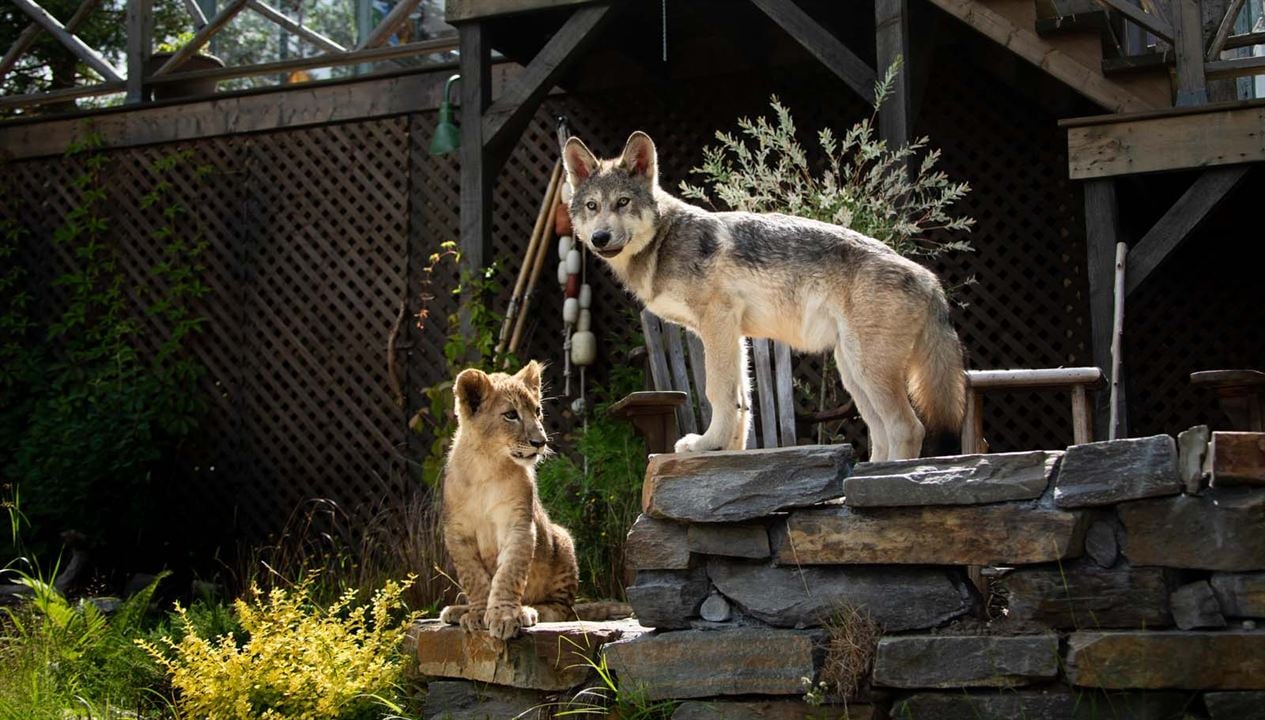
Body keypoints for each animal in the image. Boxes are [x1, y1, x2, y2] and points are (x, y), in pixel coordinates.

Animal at [559, 130, 961, 458]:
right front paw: (728, 452)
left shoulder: (717, 323)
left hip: (867, 370)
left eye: (623, 202)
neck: (664, 240)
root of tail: (929, 278)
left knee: (908, 429)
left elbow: (717, 392)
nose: (599, 239)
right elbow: (742, 401)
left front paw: (706, 445)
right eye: (593, 206)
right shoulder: (734, 334)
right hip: (853, 373)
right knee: (881, 433)